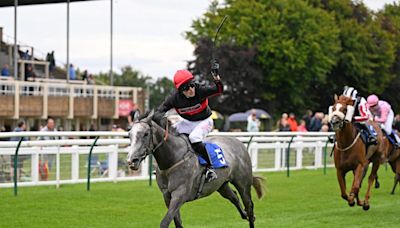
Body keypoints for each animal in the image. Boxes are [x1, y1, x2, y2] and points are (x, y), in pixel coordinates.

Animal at [127, 110, 266, 226]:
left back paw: (249, 215)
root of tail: (239, 143)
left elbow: (165, 222)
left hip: (243, 183)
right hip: (221, 184)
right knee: (234, 197)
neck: (173, 158)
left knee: (249, 205)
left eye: (146, 134)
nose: (131, 160)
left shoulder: (180, 195)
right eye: (129, 134)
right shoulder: (167, 196)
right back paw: (244, 215)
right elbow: (178, 223)